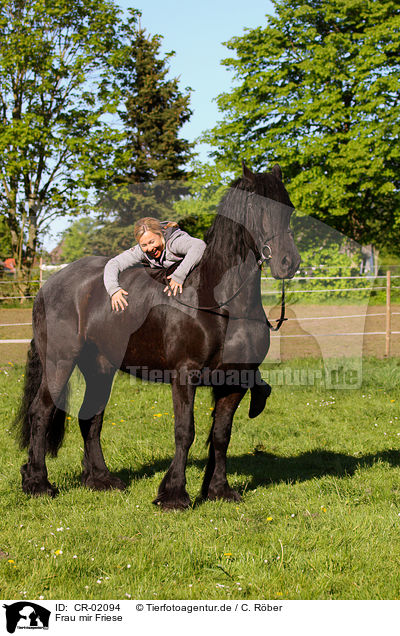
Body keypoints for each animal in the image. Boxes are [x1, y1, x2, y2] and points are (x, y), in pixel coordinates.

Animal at [14, 161, 300, 510]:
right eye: (257, 206)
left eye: (288, 207)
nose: (289, 262)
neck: (219, 301)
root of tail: (49, 285)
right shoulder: (184, 374)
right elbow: (184, 431)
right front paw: (174, 494)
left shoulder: (234, 381)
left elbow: (221, 434)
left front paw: (219, 490)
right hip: (59, 362)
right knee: (41, 412)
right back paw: (38, 483)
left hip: (100, 367)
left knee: (90, 418)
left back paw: (100, 480)